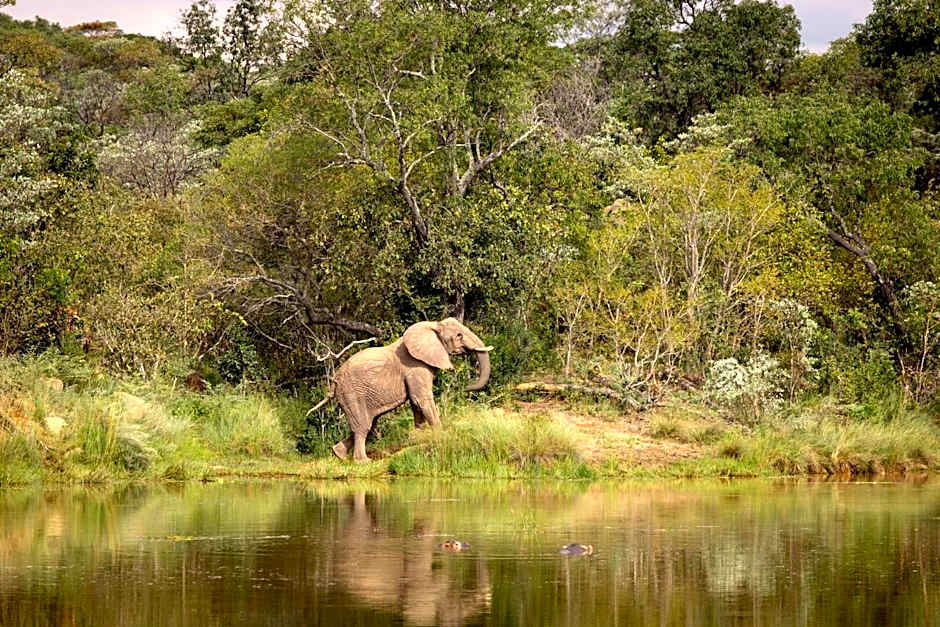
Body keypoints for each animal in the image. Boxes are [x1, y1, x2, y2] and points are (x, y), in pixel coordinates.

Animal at [321, 317, 493, 463]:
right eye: (459, 335)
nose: (465, 388)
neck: (433, 326)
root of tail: (334, 381)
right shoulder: (415, 367)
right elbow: (422, 399)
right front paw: (441, 435)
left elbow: (415, 403)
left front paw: (420, 436)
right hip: (351, 393)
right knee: (363, 426)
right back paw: (363, 462)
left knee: (369, 423)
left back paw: (339, 455)